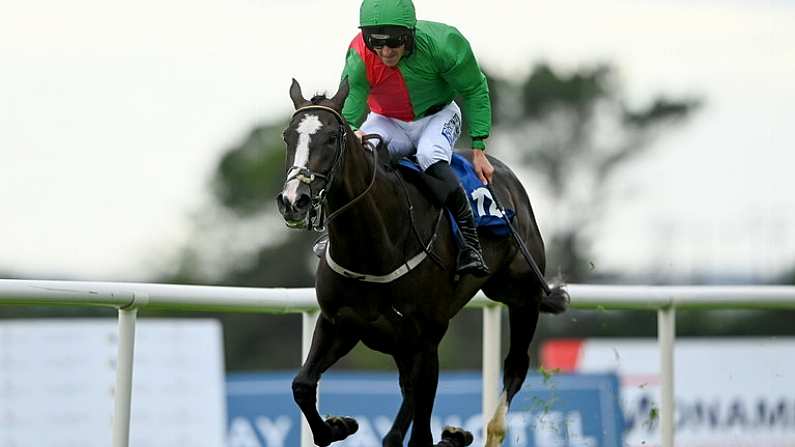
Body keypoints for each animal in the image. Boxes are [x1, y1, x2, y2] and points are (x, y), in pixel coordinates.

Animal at [276, 79, 568, 446]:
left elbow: (421, 430)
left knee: (515, 366)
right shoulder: (339, 323)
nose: (293, 201)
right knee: (405, 404)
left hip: (521, 295)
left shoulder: (427, 338)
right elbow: (302, 385)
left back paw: (486, 430)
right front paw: (340, 425)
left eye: (331, 137)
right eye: (288, 136)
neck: (373, 247)